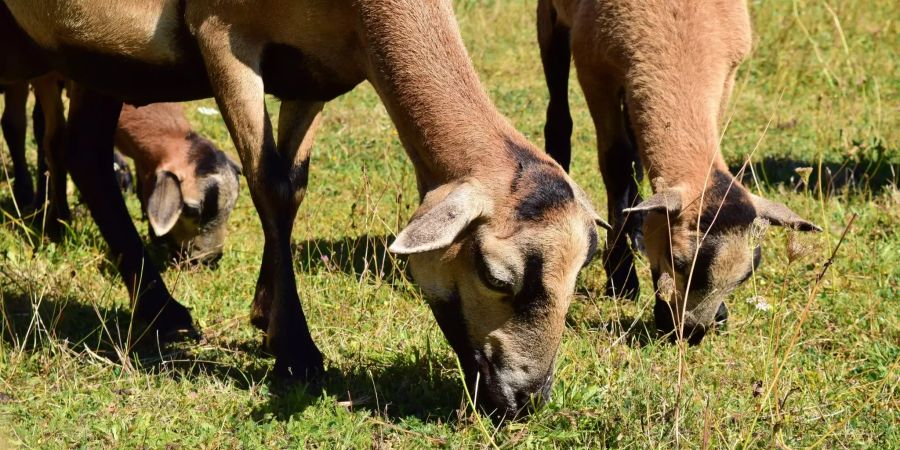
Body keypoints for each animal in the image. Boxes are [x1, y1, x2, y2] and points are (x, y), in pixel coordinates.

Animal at [1, 0, 612, 418]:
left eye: (579, 276)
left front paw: (265, 315)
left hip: (92, 51)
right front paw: (296, 351)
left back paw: (161, 311)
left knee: (84, 150)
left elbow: (293, 189)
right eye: (494, 276)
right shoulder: (223, 37)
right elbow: (269, 185)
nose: (525, 399)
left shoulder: (315, 69)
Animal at [536, 0, 824, 344]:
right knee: (559, 116)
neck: (682, 39)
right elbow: (616, 162)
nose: (691, 332)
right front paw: (621, 278)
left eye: (747, 275)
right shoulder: (595, 69)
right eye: (679, 260)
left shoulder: (725, 77)